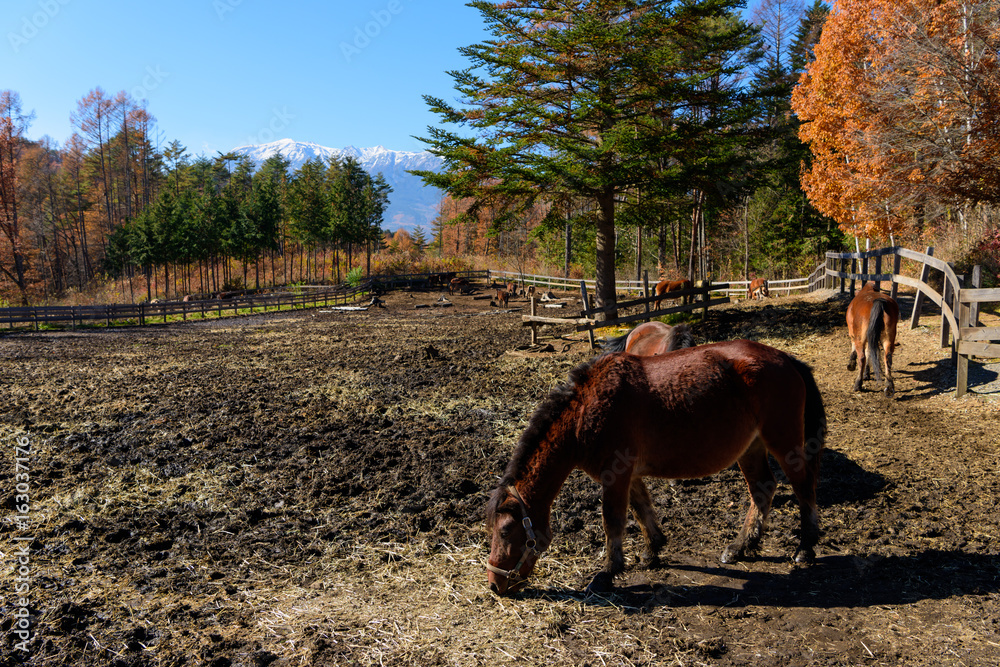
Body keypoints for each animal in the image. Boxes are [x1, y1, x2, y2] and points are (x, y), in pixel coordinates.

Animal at [486, 340, 826, 596]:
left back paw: (805, 547)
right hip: (751, 447)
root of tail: (786, 359)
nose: (494, 585)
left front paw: (608, 573)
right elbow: (642, 509)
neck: (586, 410)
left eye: (505, 531)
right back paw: (741, 547)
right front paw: (653, 550)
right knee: (762, 489)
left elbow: (613, 522)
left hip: (782, 442)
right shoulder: (629, 475)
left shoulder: (615, 475)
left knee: (803, 485)